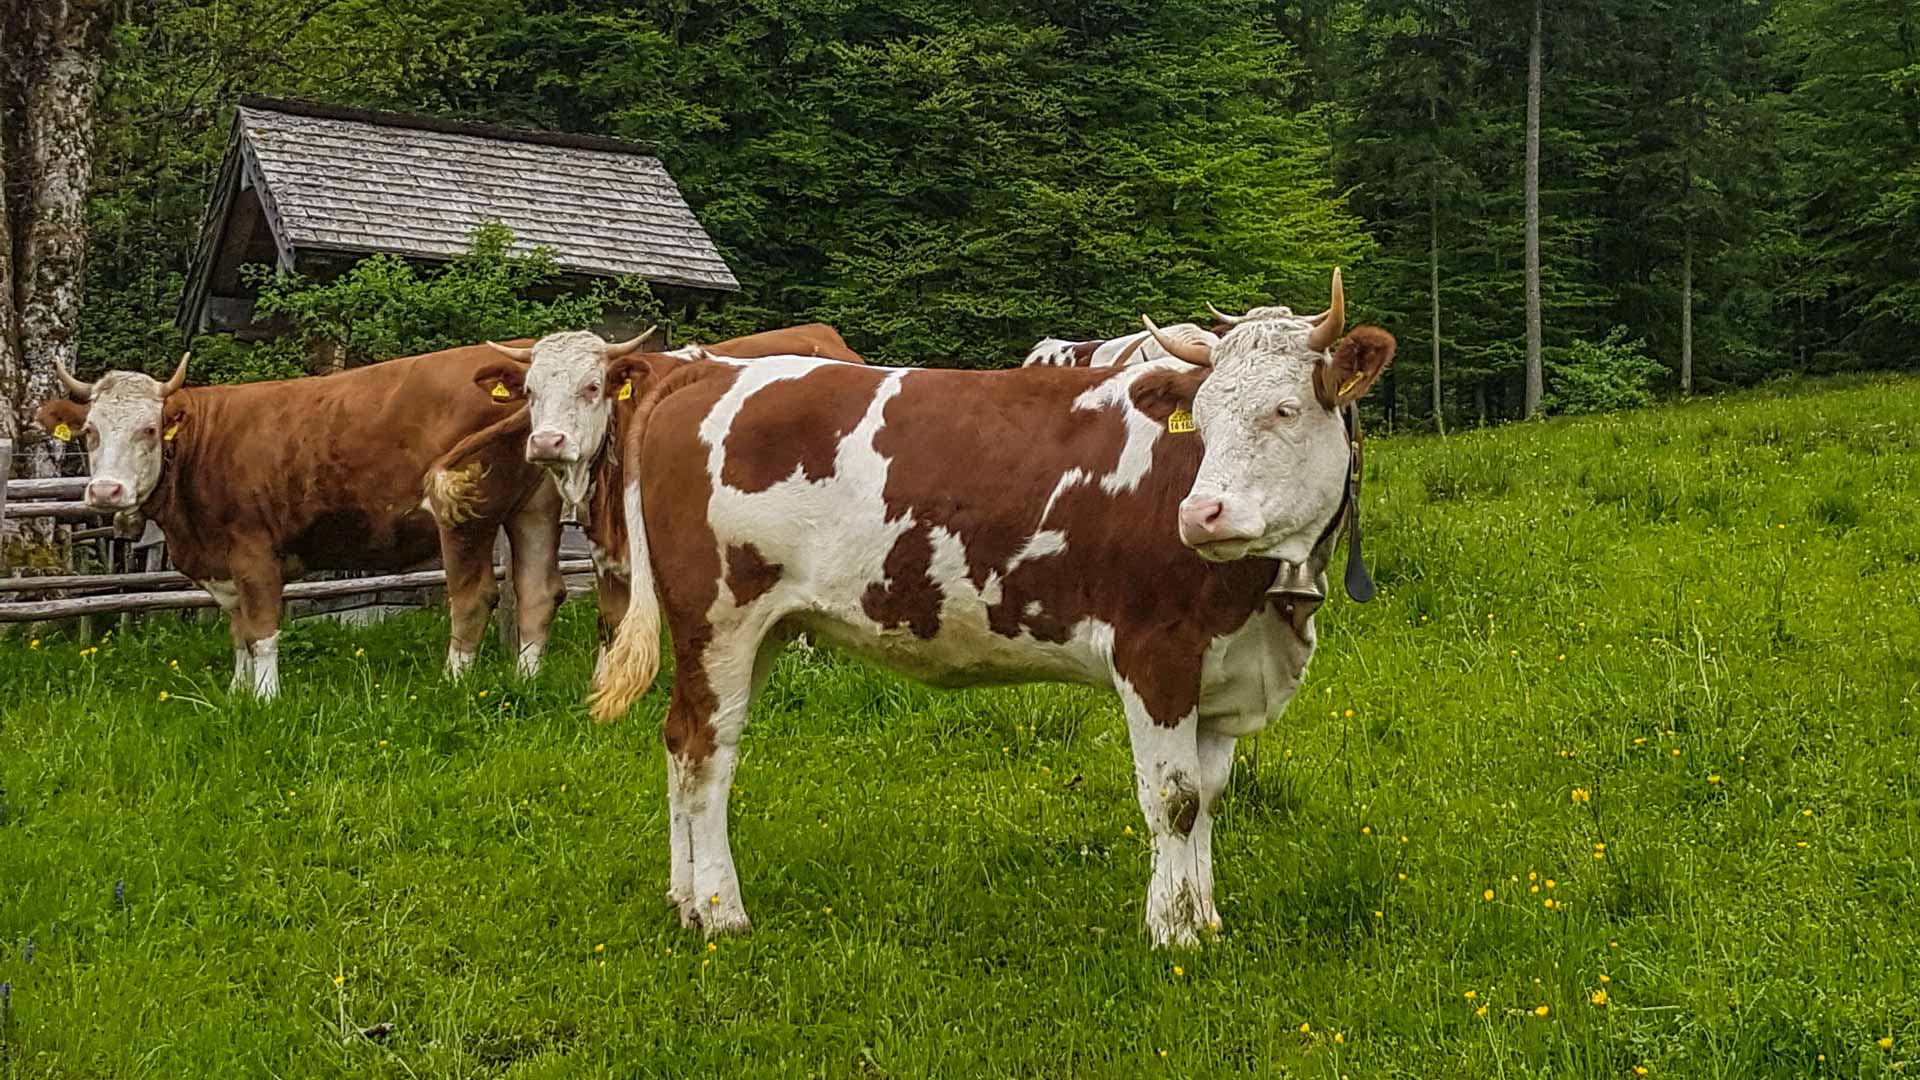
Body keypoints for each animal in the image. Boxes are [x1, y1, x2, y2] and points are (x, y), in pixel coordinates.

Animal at [36, 345, 566, 698]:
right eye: (89, 432)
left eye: (149, 429)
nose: (106, 491)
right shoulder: (225, 564)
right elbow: (238, 631)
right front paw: (237, 692)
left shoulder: (253, 550)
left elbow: (262, 628)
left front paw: (266, 698)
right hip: (534, 508)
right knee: (539, 591)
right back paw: (527, 681)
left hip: (466, 514)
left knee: (474, 596)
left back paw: (452, 684)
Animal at [589, 270, 1394, 947]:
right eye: (1200, 413)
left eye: (1286, 409)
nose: (1201, 515)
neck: (1264, 605)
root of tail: (706, 369)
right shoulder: (1154, 651)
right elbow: (1174, 800)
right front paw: (1173, 935)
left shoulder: (1225, 670)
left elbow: (1211, 797)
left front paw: (1206, 920)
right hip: (718, 619)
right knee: (707, 751)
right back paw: (720, 911)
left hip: (763, 630)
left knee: (680, 737)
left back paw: (683, 899)